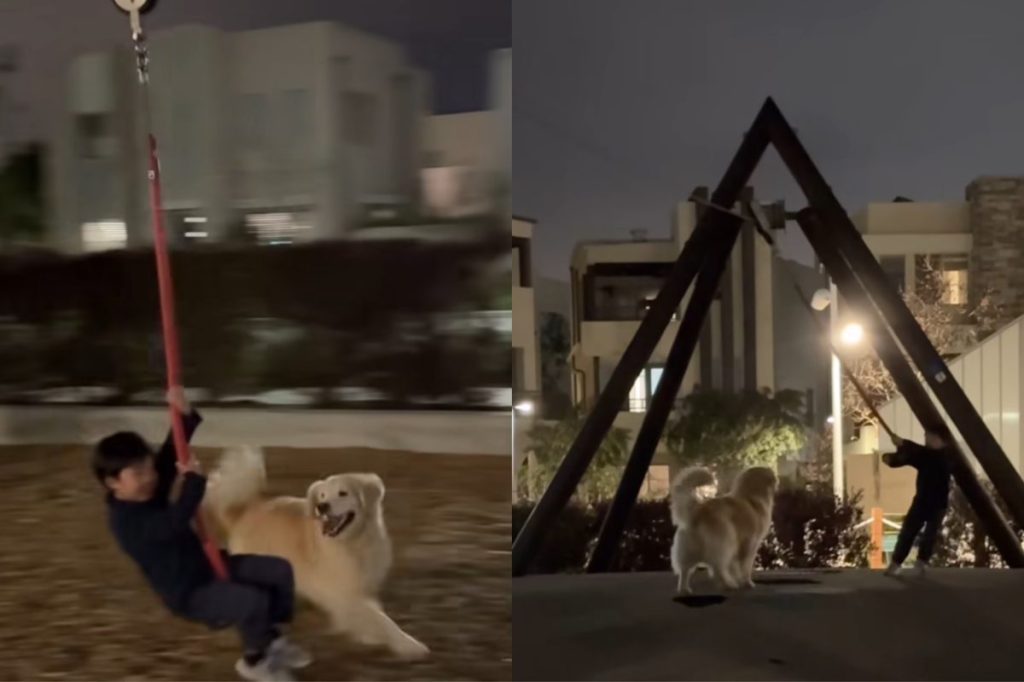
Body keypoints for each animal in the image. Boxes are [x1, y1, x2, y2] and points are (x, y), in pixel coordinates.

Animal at [205, 446, 430, 659]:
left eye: (343, 493)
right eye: (322, 495)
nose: (322, 506)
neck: (354, 542)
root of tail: (243, 510)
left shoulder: (360, 590)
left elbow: (372, 617)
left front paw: (370, 636)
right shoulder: (345, 595)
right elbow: (383, 621)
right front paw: (409, 645)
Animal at [671, 464, 774, 593]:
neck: (750, 496)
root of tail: (699, 509)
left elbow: (734, 568)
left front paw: (738, 579)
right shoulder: (750, 546)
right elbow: (745, 568)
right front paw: (747, 582)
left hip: (688, 550)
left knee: (685, 570)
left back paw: (684, 589)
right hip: (726, 543)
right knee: (718, 568)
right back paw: (728, 584)